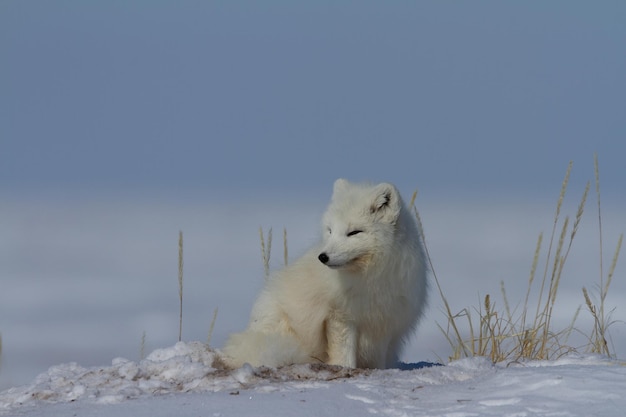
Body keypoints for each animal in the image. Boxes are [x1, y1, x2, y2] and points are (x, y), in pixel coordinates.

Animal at [222, 178, 426, 368]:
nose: (323, 257)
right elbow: (343, 354)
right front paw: (345, 368)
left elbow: (377, 361)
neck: (370, 276)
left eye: (354, 232)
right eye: (330, 230)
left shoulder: (384, 322)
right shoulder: (339, 316)